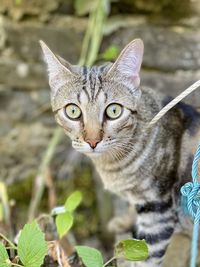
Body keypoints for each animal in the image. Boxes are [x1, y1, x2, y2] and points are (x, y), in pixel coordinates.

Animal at [39, 39, 199, 267]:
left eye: (113, 111)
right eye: (73, 111)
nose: (92, 141)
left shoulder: (158, 210)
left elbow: (147, 256)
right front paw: (124, 222)